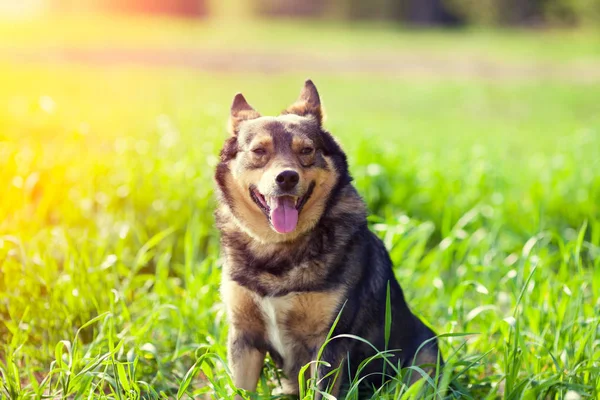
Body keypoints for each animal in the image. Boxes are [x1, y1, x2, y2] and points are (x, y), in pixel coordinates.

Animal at [213, 79, 438, 398]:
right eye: (258, 151)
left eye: (306, 150)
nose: (287, 178)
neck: (279, 248)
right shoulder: (245, 337)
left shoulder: (328, 342)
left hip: (424, 356)